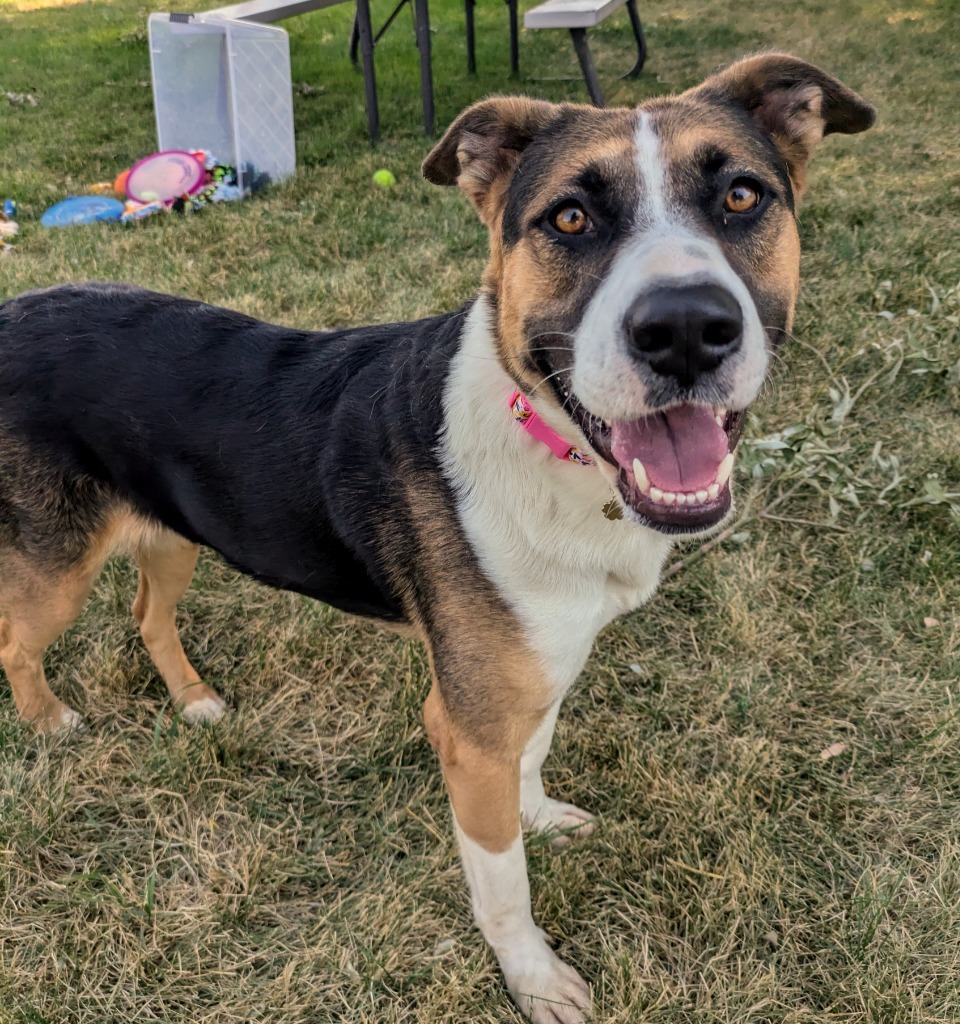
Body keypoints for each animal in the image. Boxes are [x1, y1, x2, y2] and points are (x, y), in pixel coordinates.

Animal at [0, 56, 867, 1024]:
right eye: (570, 217)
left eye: (743, 196)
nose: (684, 330)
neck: (549, 441)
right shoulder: (467, 728)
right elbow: (502, 884)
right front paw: (533, 977)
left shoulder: (537, 674)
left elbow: (535, 755)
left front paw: (539, 817)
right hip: (55, 565)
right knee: (15, 641)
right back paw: (49, 723)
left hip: (174, 530)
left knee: (149, 616)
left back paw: (195, 703)